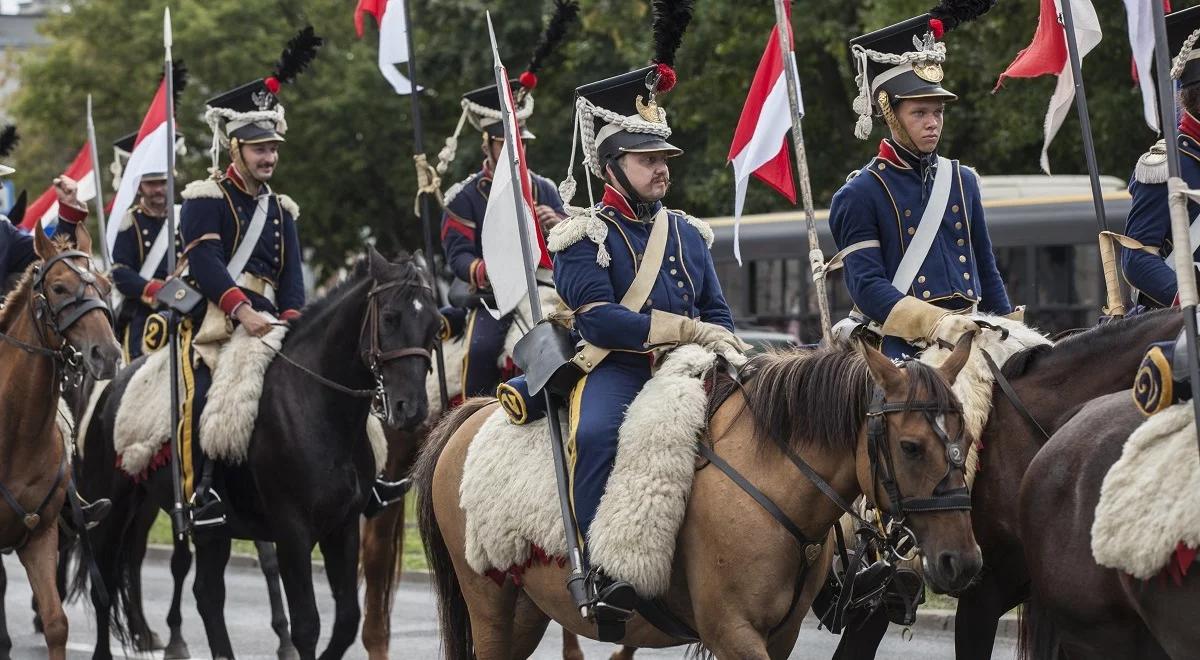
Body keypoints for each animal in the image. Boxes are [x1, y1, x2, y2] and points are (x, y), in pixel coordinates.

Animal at [70, 249, 439, 660]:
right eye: (390, 317)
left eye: (435, 325)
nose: (412, 409)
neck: (318, 406)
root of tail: (112, 383)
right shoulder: (292, 531)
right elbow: (307, 624)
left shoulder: (342, 528)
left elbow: (346, 621)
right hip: (114, 505)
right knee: (105, 582)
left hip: (209, 529)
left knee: (207, 595)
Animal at [415, 338, 984, 657]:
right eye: (910, 447)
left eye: (968, 437)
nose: (963, 562)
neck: (770, 477)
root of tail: (476, 411)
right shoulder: (732, 631)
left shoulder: (780, 636)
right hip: (491, 606)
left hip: (527, 612)